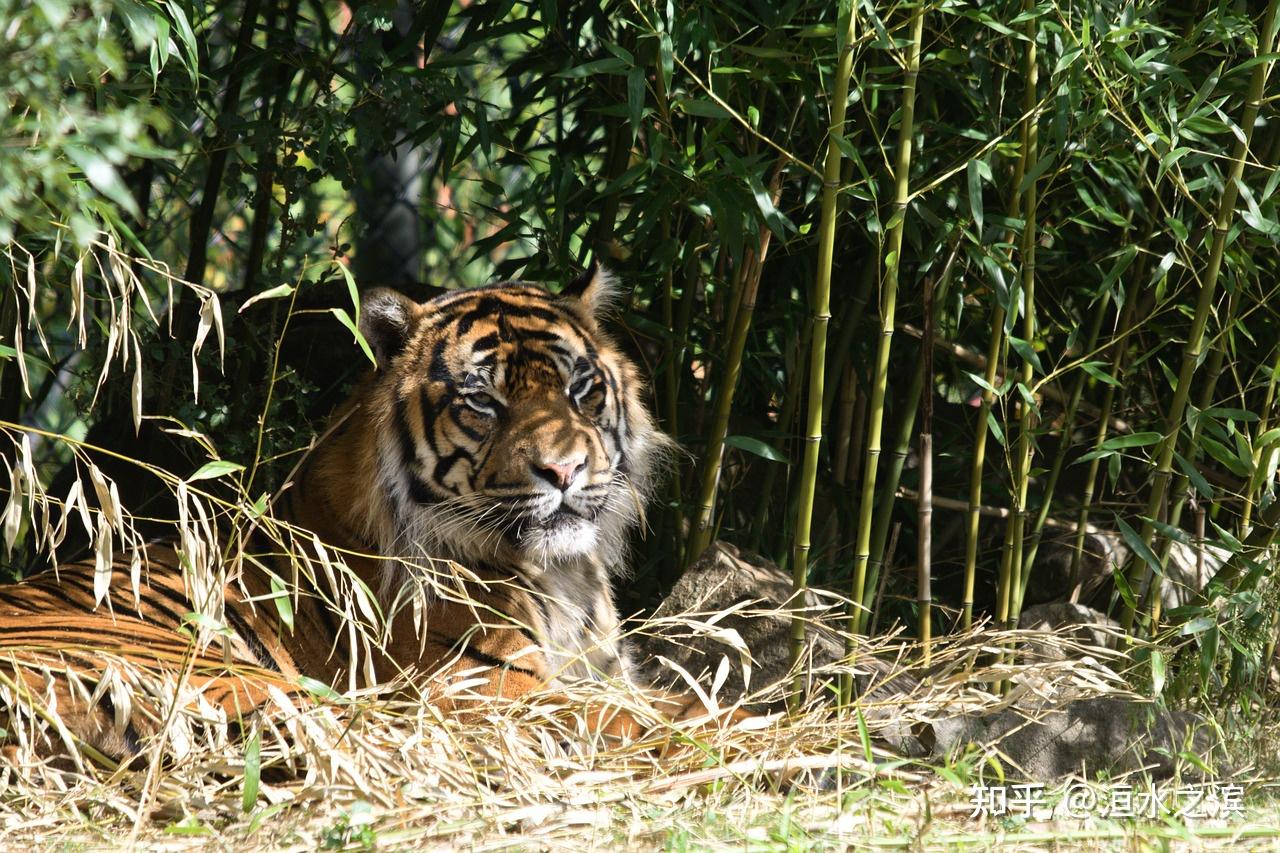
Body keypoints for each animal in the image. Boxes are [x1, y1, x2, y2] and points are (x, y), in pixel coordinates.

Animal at [0, 267, 732, 763]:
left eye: (581, 388)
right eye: (483, 400)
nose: (564, 470)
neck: (564, 575)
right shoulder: (489, 690)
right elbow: (676, 714)